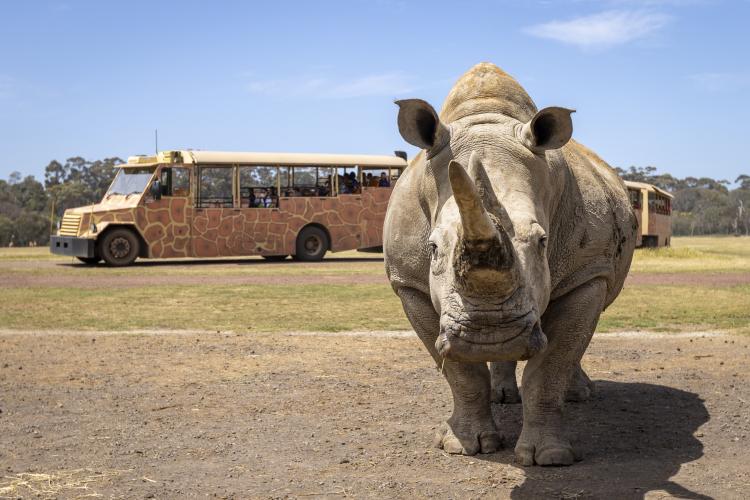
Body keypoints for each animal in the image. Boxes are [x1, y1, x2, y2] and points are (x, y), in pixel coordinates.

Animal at [384, 63, 636, 466]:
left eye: (542, 242)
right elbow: (460, 373)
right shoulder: (409, 282)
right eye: (433, 248)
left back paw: (578, 395)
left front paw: (548, 457)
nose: (490, 336)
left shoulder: (587, 273)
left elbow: (549, 367)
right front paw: (463, 445)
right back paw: (504, 393)